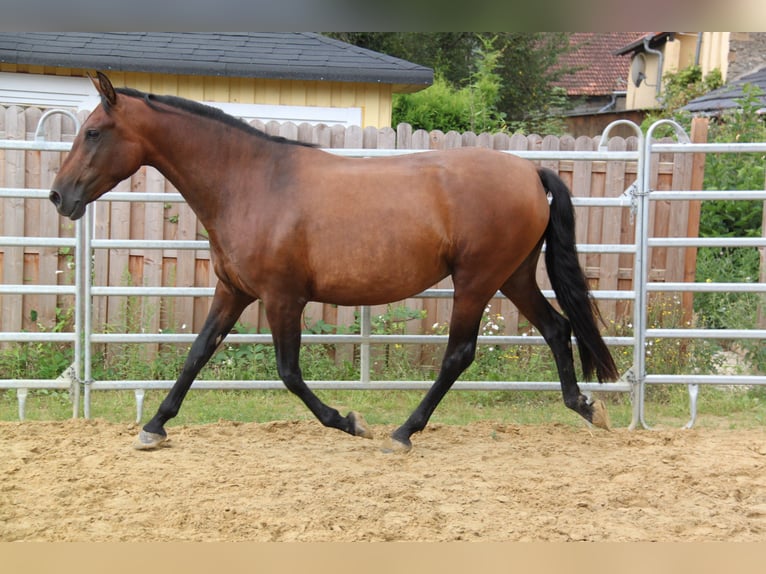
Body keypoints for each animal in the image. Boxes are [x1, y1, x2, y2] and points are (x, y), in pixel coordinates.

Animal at [52, 74, 616, 454]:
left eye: (94, 132)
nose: (59, 196)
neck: (251, 182)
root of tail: (530, 172)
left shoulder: (283, 298)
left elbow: (288, 373)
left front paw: (349, 421)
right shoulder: (233, 292)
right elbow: (196, 355)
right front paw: (154, 427)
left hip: (476, 281)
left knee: (460, 354)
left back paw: (401, 433)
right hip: (513, 276)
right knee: (557, 328)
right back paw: (587, 407)